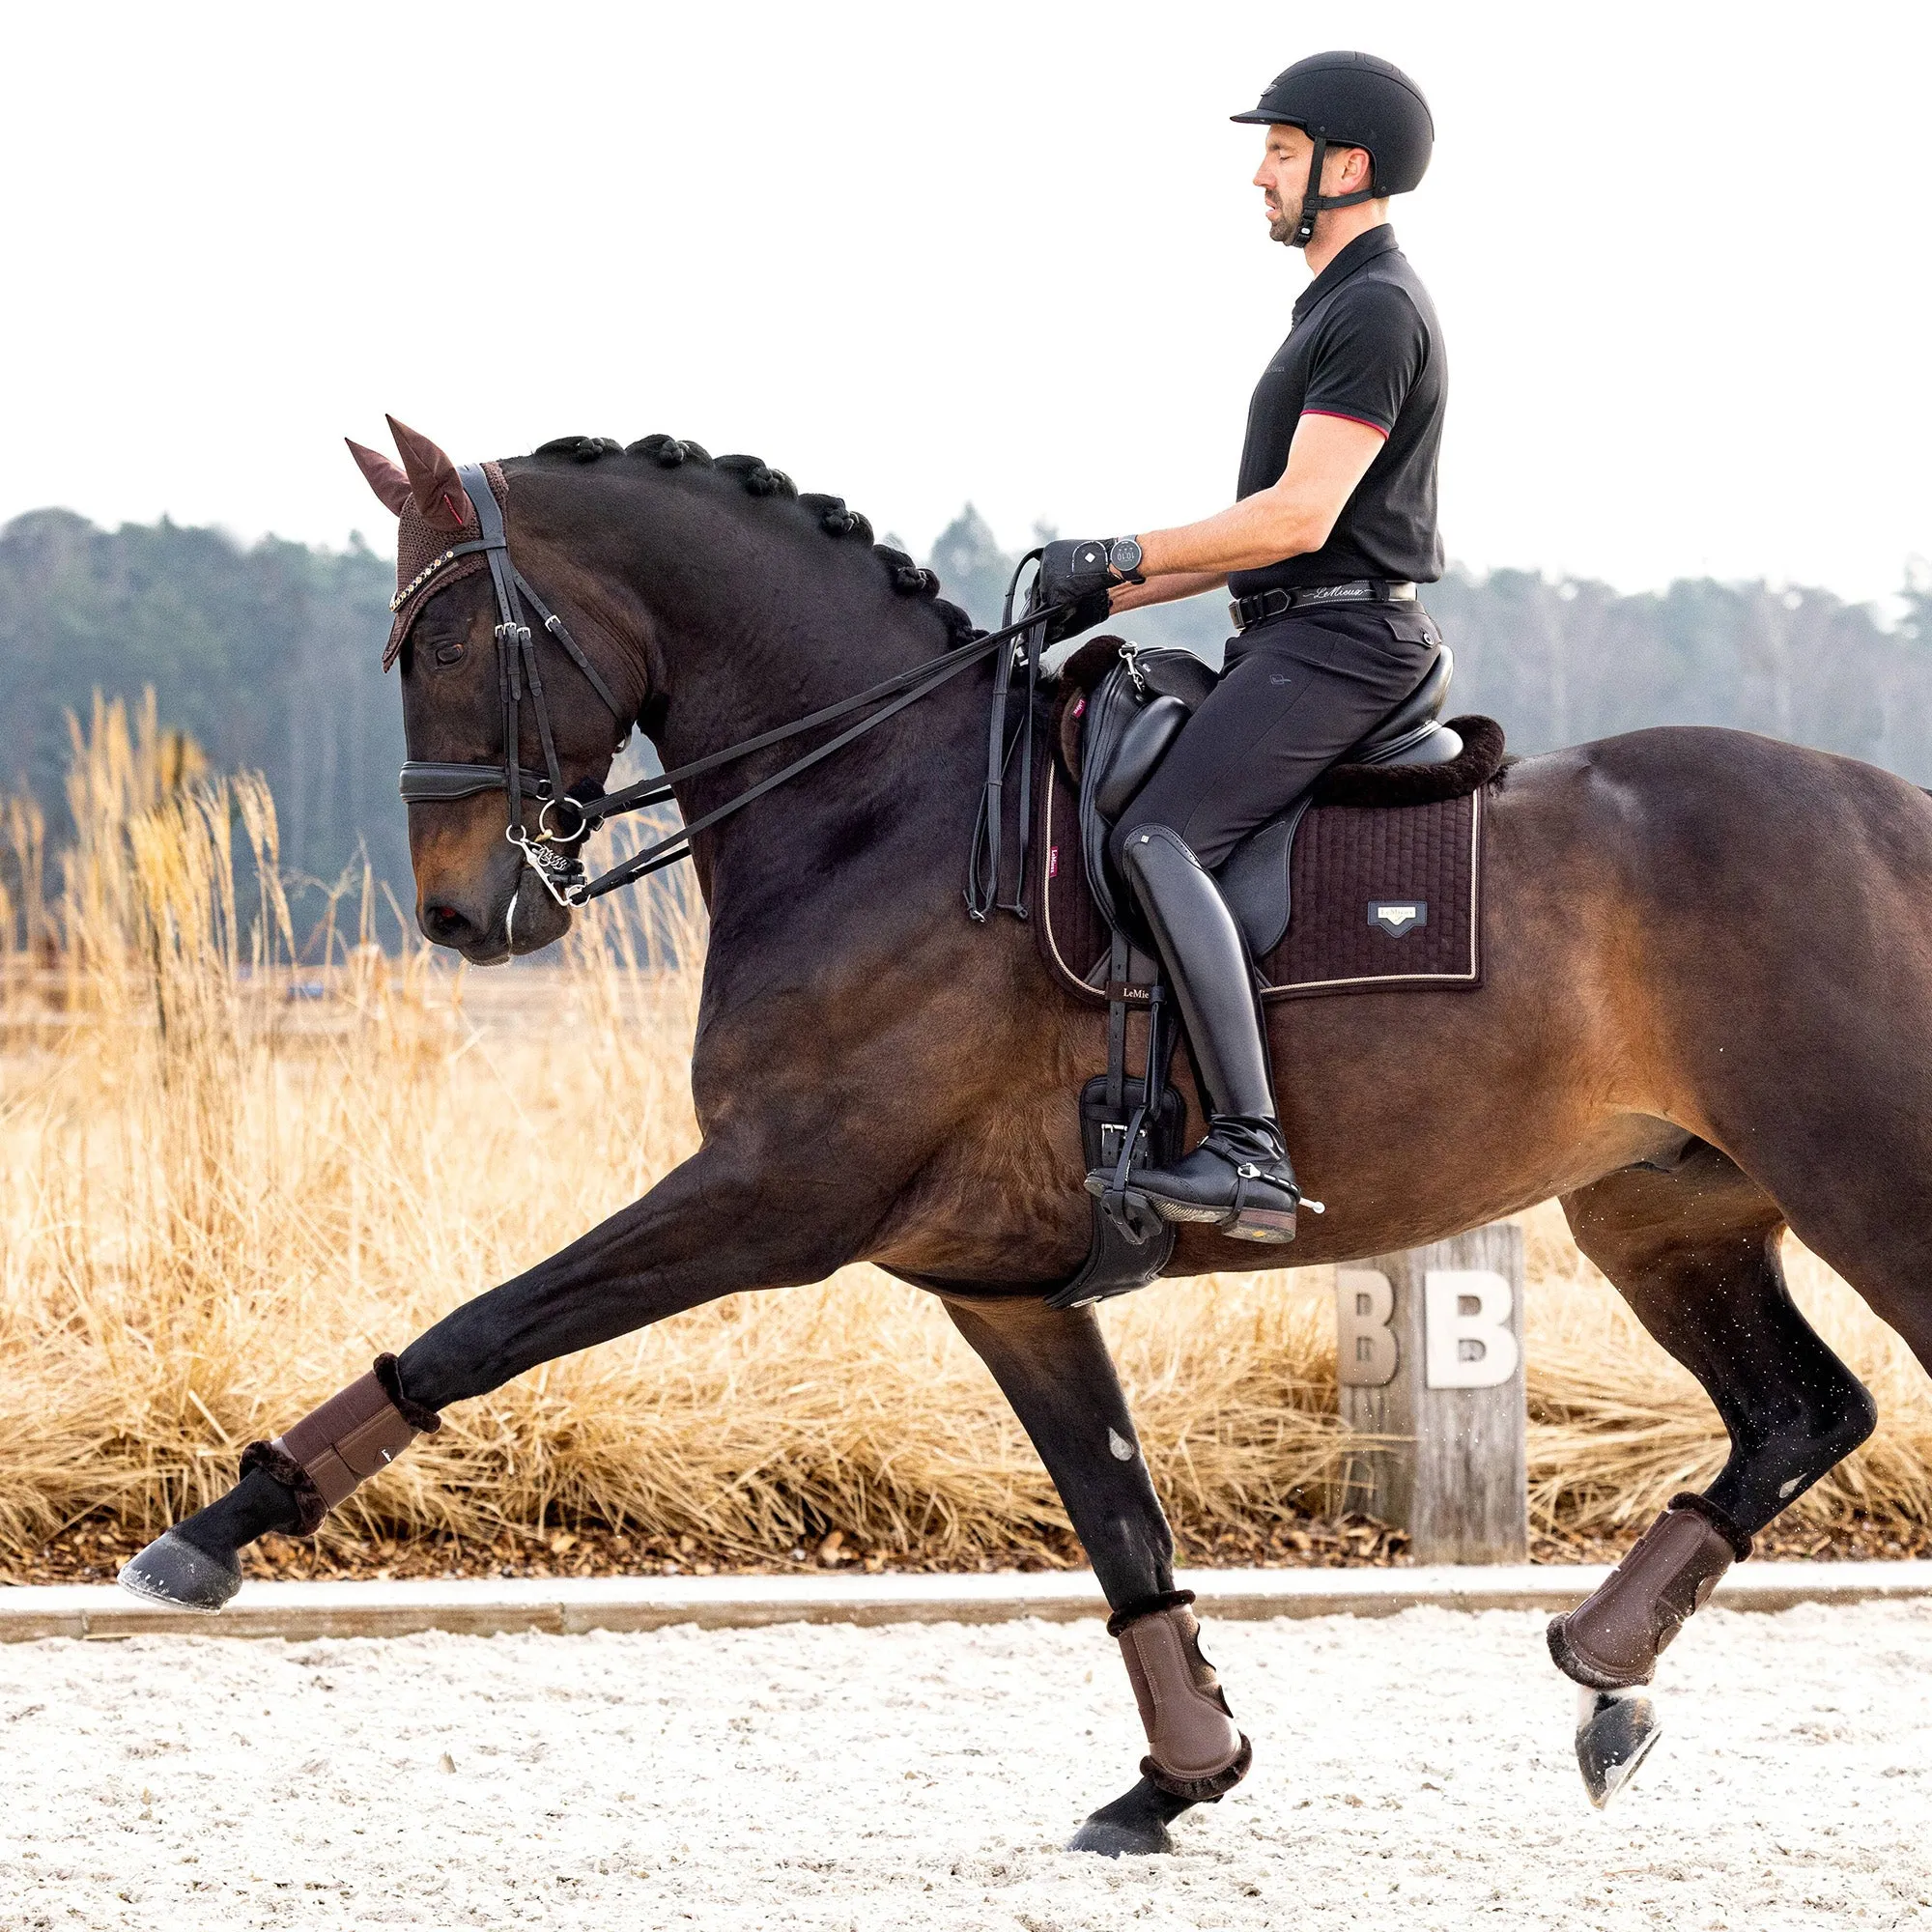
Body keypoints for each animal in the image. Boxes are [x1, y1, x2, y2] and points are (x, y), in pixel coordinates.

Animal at [128, 427, 1924, 1855]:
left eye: (450, 638)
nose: (462, 914)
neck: (877, 808)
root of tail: (1892, 814)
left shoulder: (770, 1199)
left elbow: (483, 1330)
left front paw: (215, 1531)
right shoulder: (1001, 1286)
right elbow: (1120, 1522)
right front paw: (1179, 1778)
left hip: (1865, 1182)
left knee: (1830, 1394)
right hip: (1662, 1211)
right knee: (1802, 1411)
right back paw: (1603, 1673)